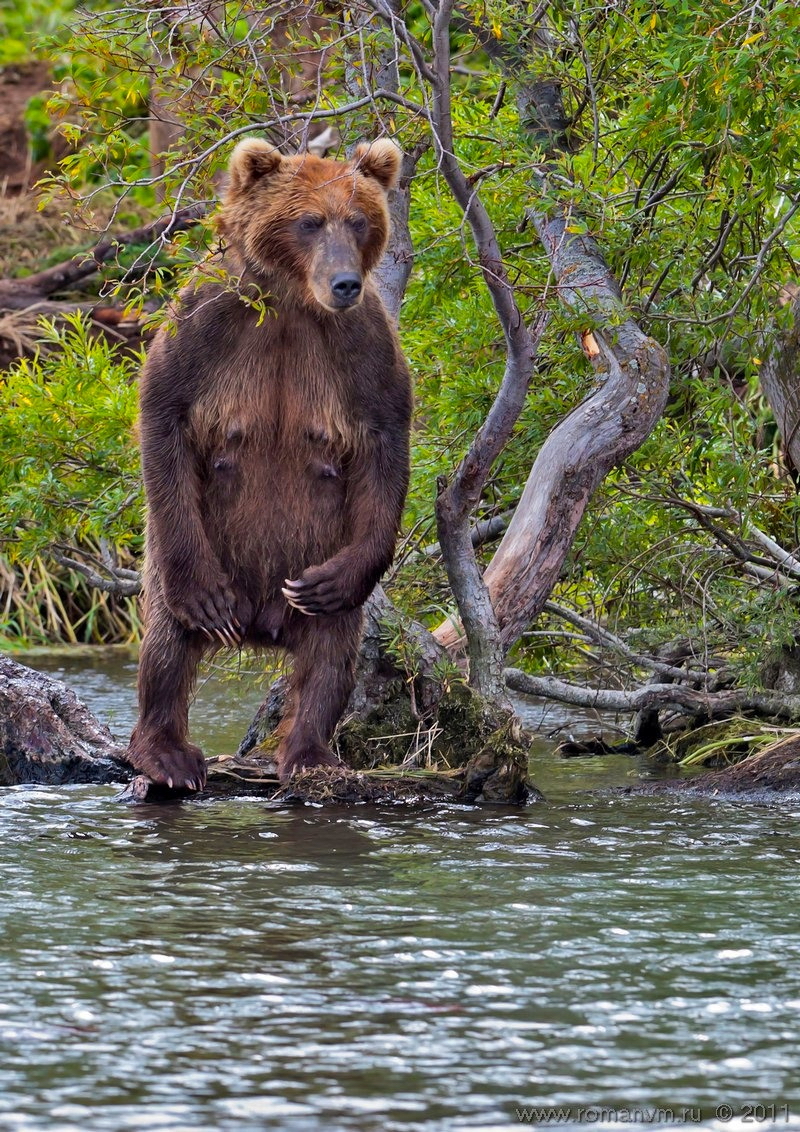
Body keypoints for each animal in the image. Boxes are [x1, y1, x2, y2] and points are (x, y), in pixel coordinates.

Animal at [126, 136, 414, 792]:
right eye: (308, 221)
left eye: (359, 220)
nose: (345, 283)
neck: (292, 300)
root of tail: (263, 624)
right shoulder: (205, 324)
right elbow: (163, 412)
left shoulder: (365, 349)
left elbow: (386, 443)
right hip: (203, 555)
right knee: (165, 644)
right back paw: (167, 753)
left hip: (316, 560)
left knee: (330, 653)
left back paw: (310, 753)